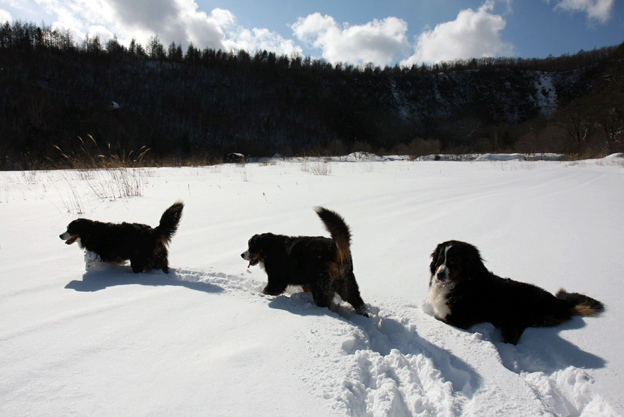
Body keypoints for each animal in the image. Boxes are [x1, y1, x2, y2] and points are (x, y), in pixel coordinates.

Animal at [428, 239, 604, 342]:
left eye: (453, 261)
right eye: (440, 260)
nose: (439, 274)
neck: (461, 283)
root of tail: (559, 301)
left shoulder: (459, 319)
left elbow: (439, 318)